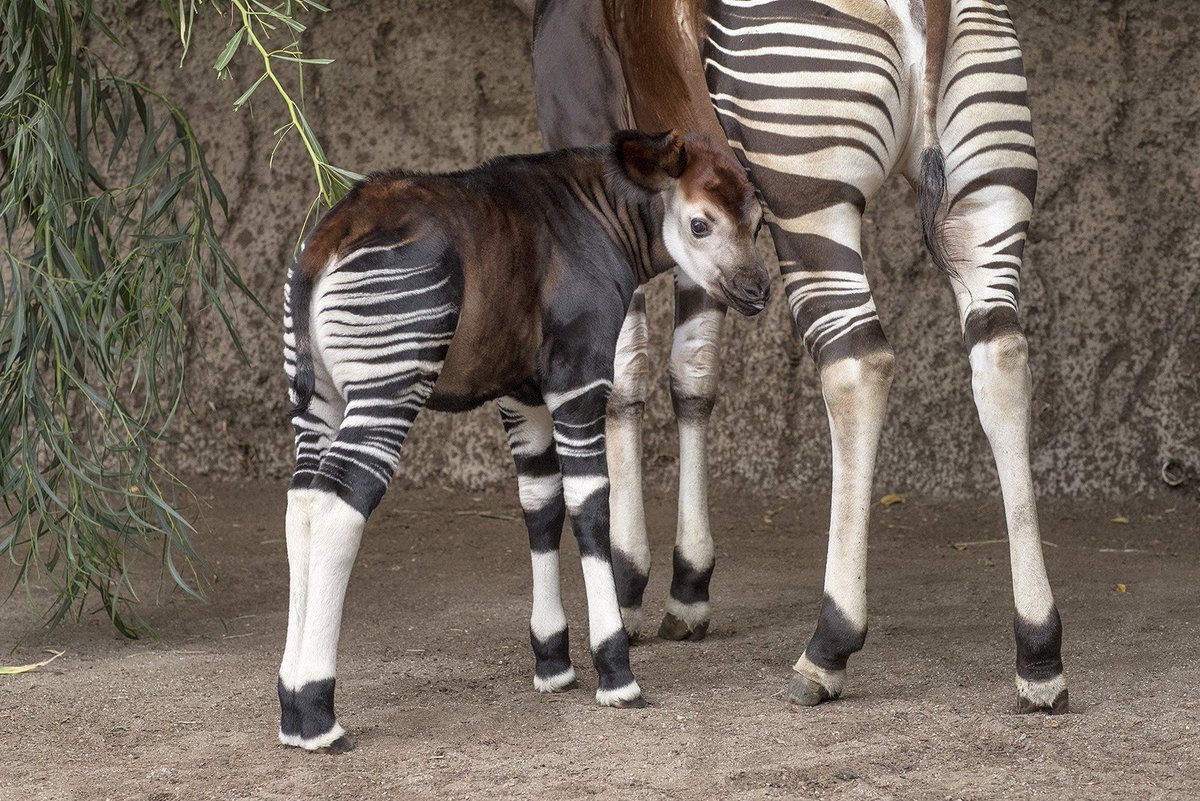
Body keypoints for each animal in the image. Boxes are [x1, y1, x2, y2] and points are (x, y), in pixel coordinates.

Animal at [276, 130, 768, 753]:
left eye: (758, 221)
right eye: (700, 224)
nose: (757, 290)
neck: (602, 214)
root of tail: (326, 241)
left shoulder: (523, 395)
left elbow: (540, 506)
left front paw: (553, 664)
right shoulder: (579, 379)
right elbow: (590, 508)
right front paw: (616, 672)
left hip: (318, 400)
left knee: (304, 502)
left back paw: (291, 707)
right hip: (389, 382)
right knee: (340, 506)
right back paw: (318, 714)